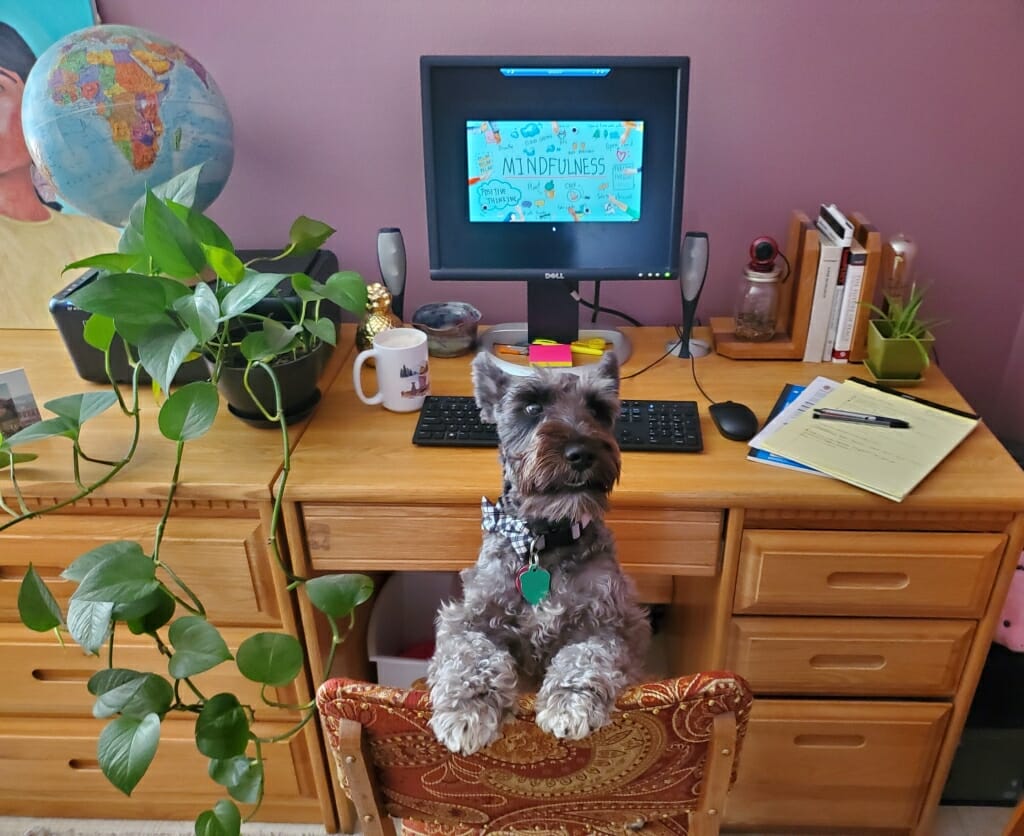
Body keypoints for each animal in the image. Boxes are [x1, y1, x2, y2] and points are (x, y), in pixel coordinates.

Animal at [428, 350, 651, 754]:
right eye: (531, 406)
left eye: (598, 409)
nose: (582, 453)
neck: (542, 541)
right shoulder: (468, 617)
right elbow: (470, 654)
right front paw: (467, 712)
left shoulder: (609, 624)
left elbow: (584, 657)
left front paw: (570, 705)